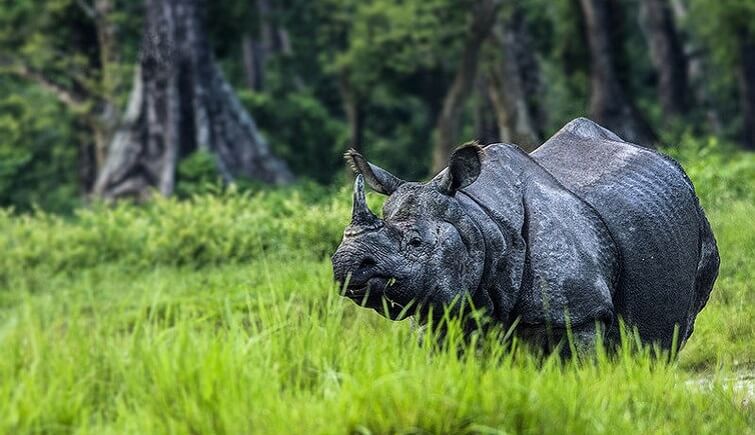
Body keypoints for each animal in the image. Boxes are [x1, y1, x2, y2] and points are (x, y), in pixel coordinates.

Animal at [332, 118, 720, 354]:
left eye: (416, 243)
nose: (346, 264)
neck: (480, 224)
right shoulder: (442, 317)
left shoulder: (582, 315)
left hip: (699, 224)